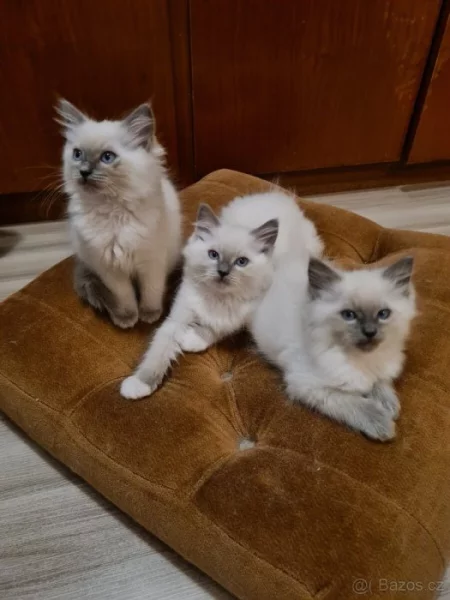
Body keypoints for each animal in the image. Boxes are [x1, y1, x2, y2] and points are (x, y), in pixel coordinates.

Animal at [56, 99, 181, 328]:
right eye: (77, 154)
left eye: (107, 157)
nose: (84, 172)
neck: (113, 214)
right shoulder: (110, 270)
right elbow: (125, 297)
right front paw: (127, 318)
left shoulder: (151, 263)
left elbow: (151, 292)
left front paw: (150, 315)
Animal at [120, 189, 323, 399]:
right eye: (213, 255)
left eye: (241, 262)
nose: (223, 272)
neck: (218, 298)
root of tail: (278, 195)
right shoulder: (177, 319)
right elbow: (158, 352)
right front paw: (138, 385)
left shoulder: (243, 316)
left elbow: (217, 329)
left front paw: (191, 339)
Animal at [250, 255, 416, 441]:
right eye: (349, 315)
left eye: (383, 314)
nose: (370, 332)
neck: (359, 359)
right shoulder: (307, 385)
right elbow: (354, 403)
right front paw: (382, 423)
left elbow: (379, 382)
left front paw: (388, 405)